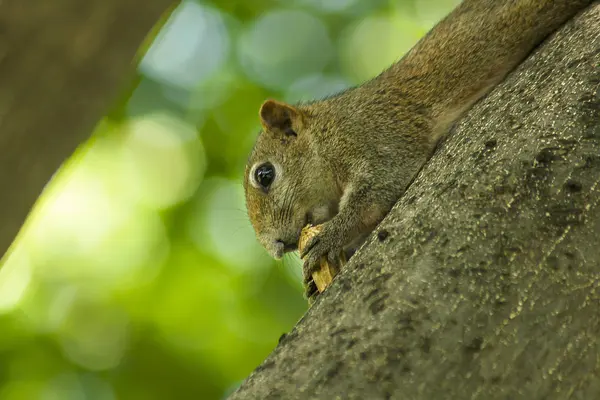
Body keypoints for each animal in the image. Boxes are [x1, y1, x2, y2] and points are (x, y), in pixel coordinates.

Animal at [241, 0, 592, 298]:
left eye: (265, 174)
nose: (277, 247)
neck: (326, 134)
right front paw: (314, 281)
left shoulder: (376, 135)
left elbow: (375, 194)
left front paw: (331, 236)